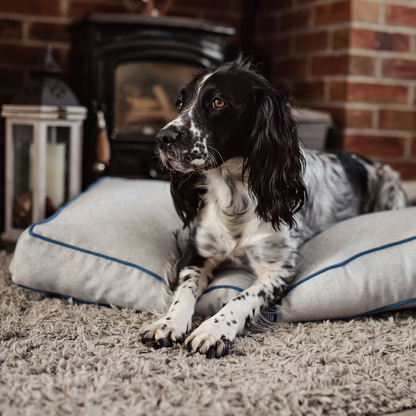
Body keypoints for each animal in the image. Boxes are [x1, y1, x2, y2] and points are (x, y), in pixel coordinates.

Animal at [140, 55, 406, 360]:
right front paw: (167, 323)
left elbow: (241, 296)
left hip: (390, 186)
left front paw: (214, 330)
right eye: (180, 102)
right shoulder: (197, 253)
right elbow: (185, 290)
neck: (235, 197)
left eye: (218, 102)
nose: (162, 137)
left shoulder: (278, 270)